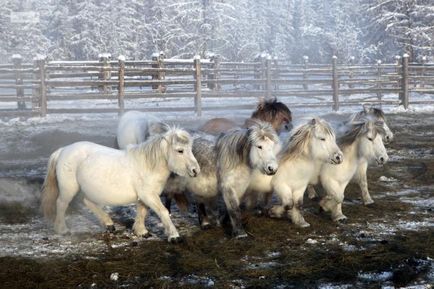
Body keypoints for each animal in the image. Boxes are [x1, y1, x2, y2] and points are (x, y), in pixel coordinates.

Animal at [39, 127, 199, 242]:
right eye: (180, 150)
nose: (195, 170)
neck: (148, 165)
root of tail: (63, 150)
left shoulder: (145, 196)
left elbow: (142, 212)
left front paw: (141, 232)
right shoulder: (149, 195)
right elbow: (163, 212)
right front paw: (174, 236)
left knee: (87, 201)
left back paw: (109, 224)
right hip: (69, 189)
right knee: (61, 204)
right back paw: (62, 229)